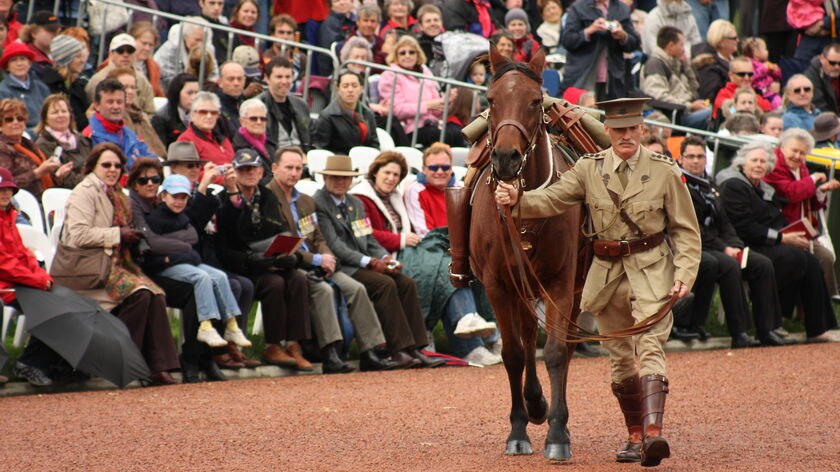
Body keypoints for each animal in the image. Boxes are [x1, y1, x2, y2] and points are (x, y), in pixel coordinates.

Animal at [466, 48, 592, 460]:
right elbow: (514, 354)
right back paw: (534, 402)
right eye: (490, 99)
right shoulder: (497, 285)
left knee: (563, 344)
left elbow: (555, 351)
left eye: (535, 101)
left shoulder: (560, 282)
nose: (505, 157)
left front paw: (557, 433)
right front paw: (519, 428)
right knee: (523, 335)